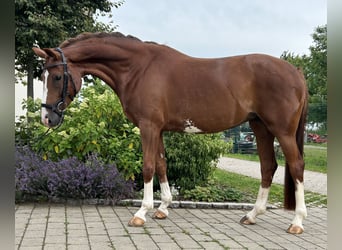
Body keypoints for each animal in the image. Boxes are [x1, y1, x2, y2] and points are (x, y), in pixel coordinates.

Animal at [33, 32, 308, 233]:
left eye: (56, 77)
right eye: (43, 76)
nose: (47, 118)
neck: (138, 69)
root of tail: (295, 71)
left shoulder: (148, 126)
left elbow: (147, 167)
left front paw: (141, 213)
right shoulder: (159, 129)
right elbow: (162, 165)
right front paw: (162, 208)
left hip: (281, 131)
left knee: (296, 166)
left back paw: (296, 222)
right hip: (260, 127)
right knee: (268, 166)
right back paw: (252, 215)